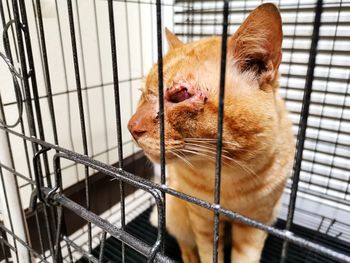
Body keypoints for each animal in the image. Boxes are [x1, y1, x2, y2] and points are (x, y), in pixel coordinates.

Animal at [127, 3, 294, 262]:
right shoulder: (202, 221)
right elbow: (207, 253)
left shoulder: (255, 226)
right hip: (177, 214)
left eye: (180, 95)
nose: (132, 127)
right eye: (143, 93)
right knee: (184, 243)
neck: (228, 179)